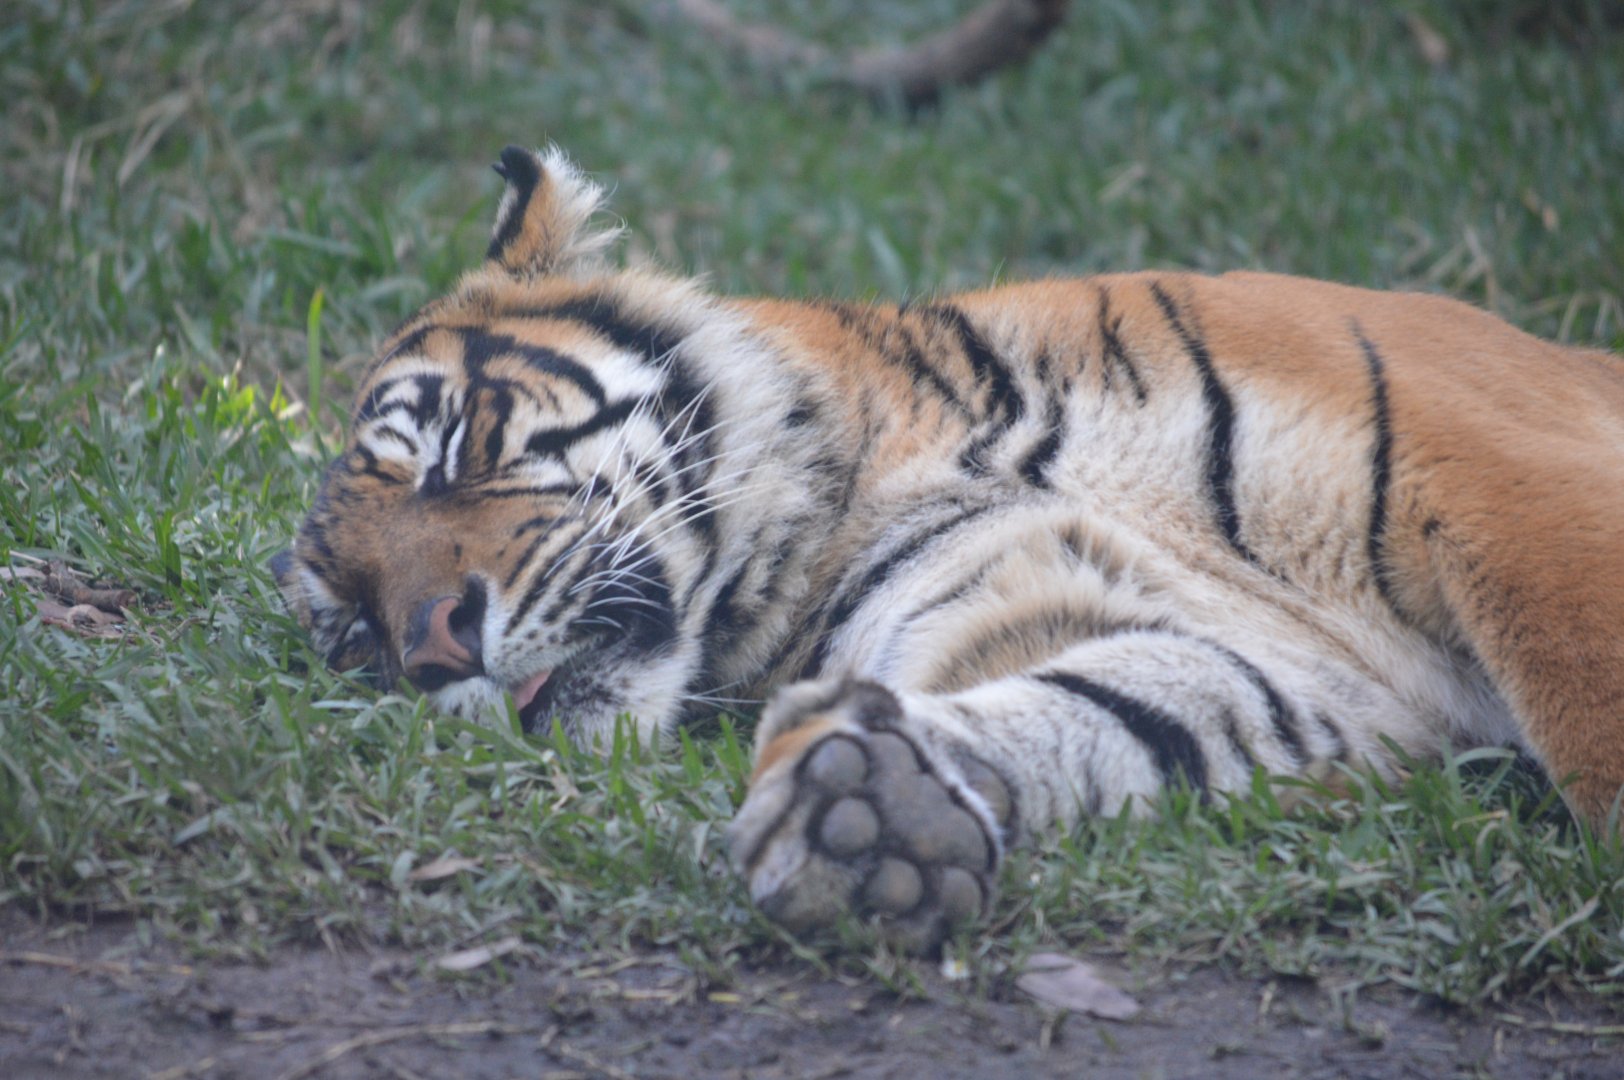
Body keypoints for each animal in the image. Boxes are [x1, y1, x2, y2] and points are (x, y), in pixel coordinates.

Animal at [273, 145, 1624, 950]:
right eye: (352, 632)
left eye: (452, 449)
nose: (436, 648)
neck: (858, 492)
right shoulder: (1279, 668)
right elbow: (1117, 710)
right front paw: (871, 812)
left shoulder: (1502, 476)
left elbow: (1587, 703)